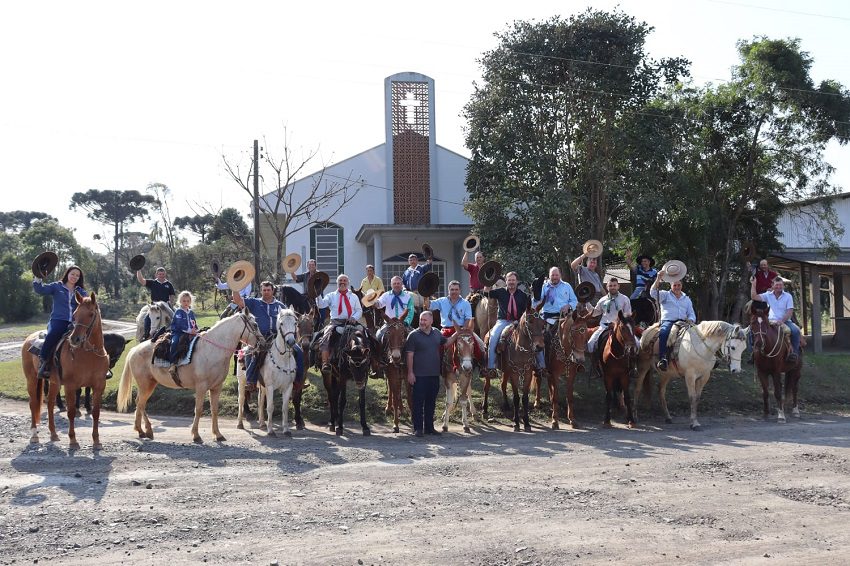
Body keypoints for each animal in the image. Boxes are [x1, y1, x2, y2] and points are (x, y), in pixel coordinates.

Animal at [21, 292, 109, 448]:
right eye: (74, 314)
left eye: (91, 314)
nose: (75, 339)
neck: (89, 355)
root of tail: (29, 339)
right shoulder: (70, 386)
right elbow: (71, 412)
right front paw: (73, 440)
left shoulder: (99, 386)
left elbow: (96, 412)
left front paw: (96, 441)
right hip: (32, 379)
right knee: (33, 403)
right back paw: (34, 435)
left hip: (54, 383)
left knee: (50, 404)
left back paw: (53, 434)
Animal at [117, 312, 262, 446]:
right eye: (255, 325)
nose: (263, 343)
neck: (212, 349)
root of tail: (134, 350)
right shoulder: (201, 387)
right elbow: (198, 410)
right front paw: (196, 436)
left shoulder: (216, 387)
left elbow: (214, 410)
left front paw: (218, 434)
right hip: (145, 384)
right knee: (140, 403)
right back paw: (145, 431)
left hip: (150, 384)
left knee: (139, 403)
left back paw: (142, 431)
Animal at [253, 308, 300, 438]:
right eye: (282, 323)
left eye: (295, 323)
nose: (291, 342)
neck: (282, 358)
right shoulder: (270, 386)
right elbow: (270, 407)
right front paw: (271, 431)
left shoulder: (288, 387)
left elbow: (284, 408)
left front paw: (286, 430)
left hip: (263, 386)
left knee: (260, 400)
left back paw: (262, 423)